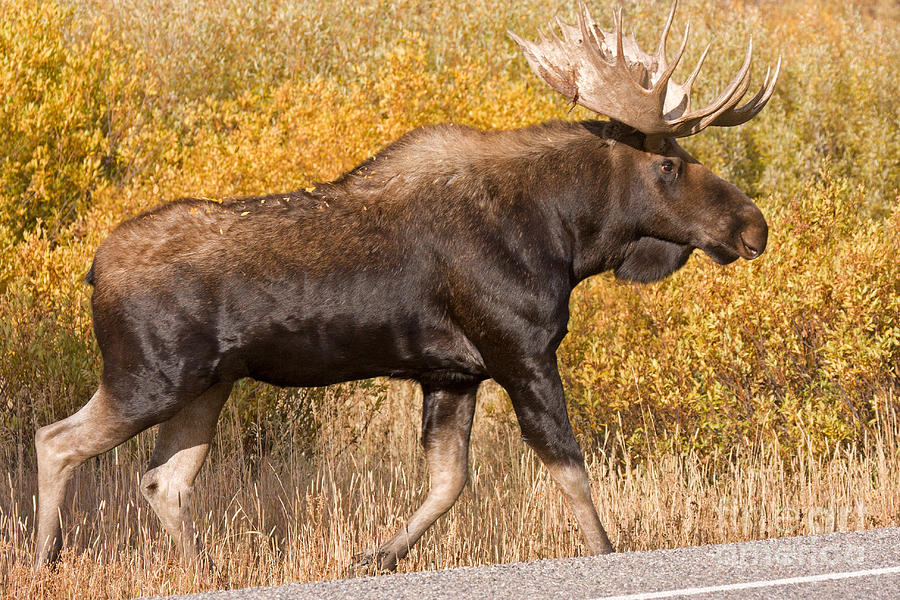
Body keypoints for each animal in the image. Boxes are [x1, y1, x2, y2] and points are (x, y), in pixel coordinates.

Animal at [33, 2, 780, 568]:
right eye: (668, 165)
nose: (754, 227)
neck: (567, 235)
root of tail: (94, 268)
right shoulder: (520, 351)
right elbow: (569, 470)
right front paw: (607, 554)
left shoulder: (452, 373)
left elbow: (448, 482)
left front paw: (374, 555)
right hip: (149, 377)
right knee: (57, 440)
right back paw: (44, 558)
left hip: (208, 385)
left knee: (164, 481)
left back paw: (206, 570)